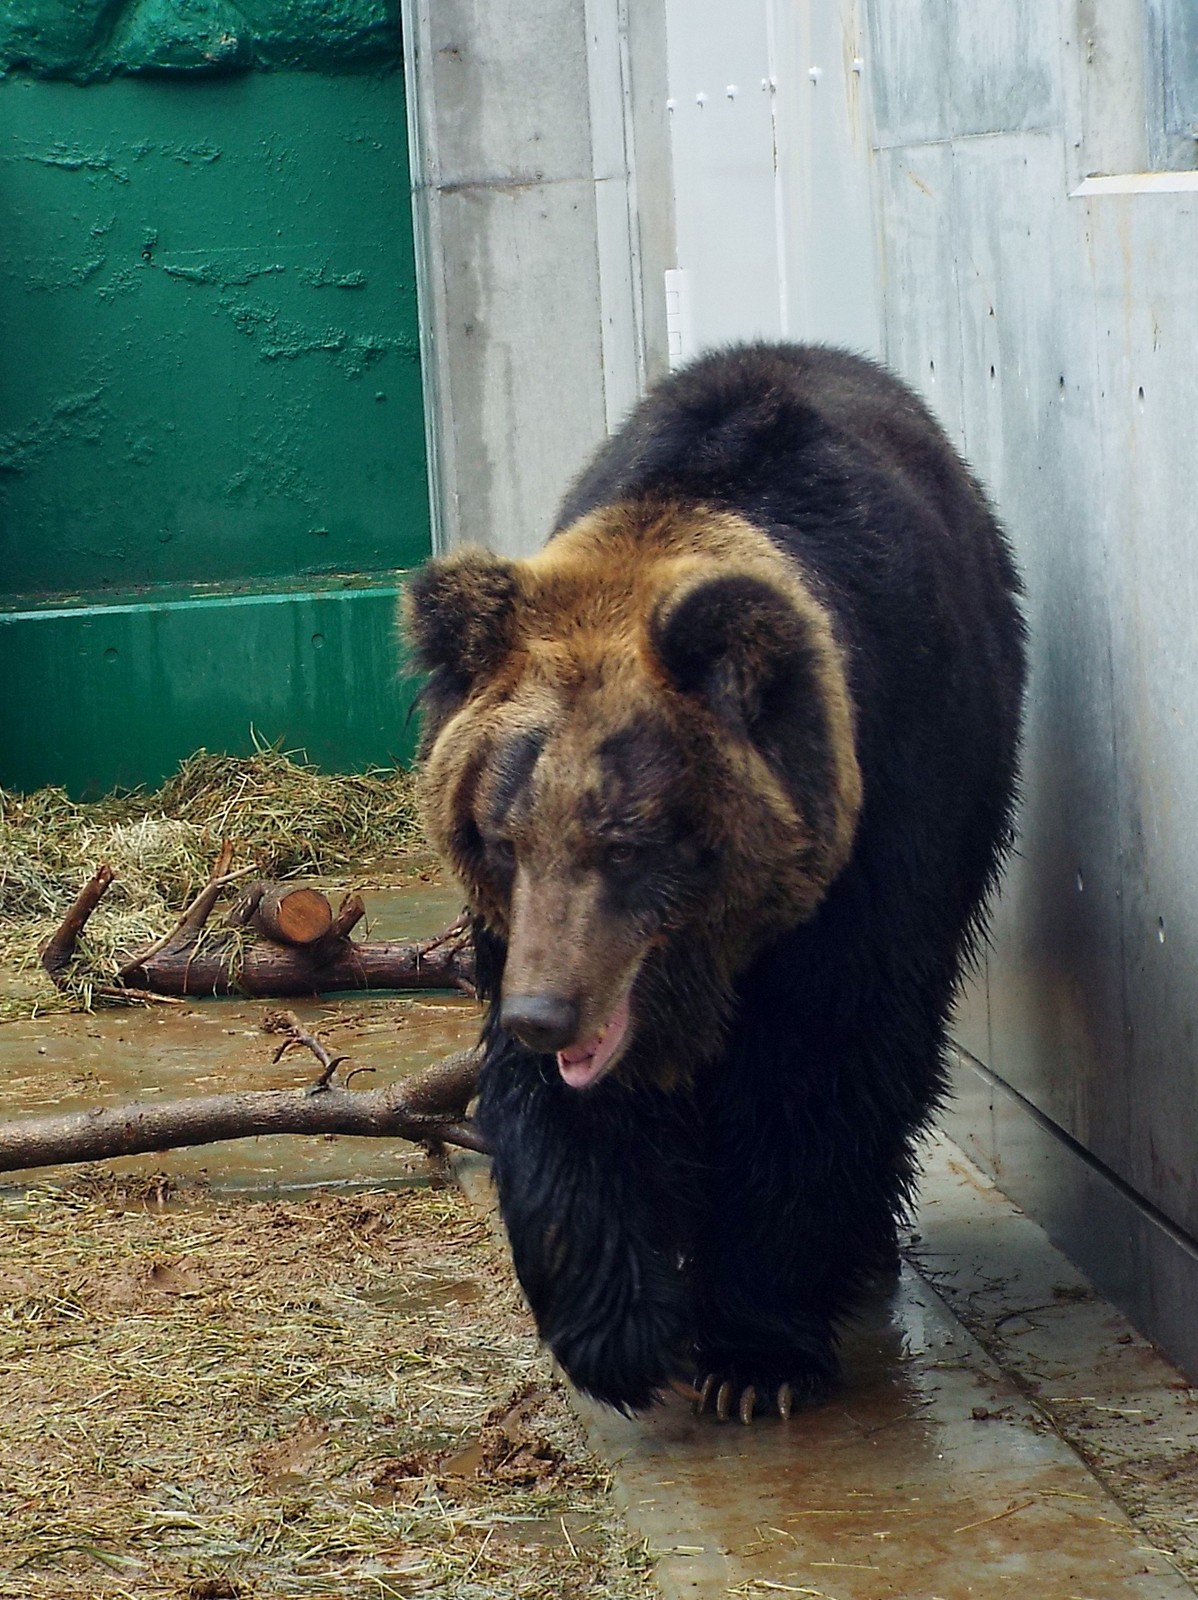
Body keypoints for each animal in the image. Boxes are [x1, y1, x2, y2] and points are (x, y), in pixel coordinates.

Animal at [404, 344, 1017, 1420]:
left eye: (629, 842)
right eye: (502, 836)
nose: (544, 1016)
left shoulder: (876, 838)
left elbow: (821, 1063)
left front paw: (754, 1353)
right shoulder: (528, 938)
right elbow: (567, 1110)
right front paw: (618, 1332)